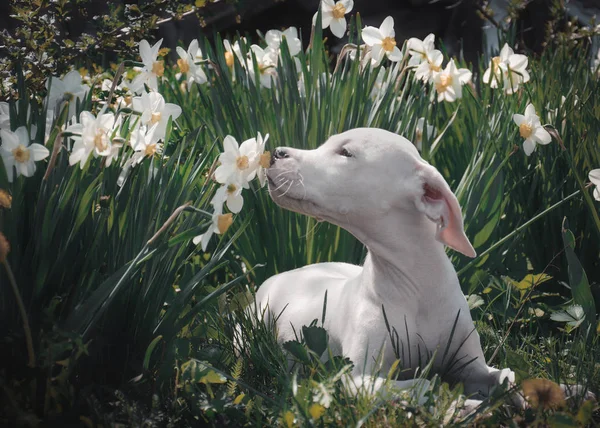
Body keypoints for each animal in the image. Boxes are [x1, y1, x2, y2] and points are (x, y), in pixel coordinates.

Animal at [255, 126, 512, 398]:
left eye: (345, 152)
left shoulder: (473, 365)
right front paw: (456, 401)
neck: (415, 288)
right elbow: (424, 385)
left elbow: (506, 376)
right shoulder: (356, 379)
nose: (276, 152)